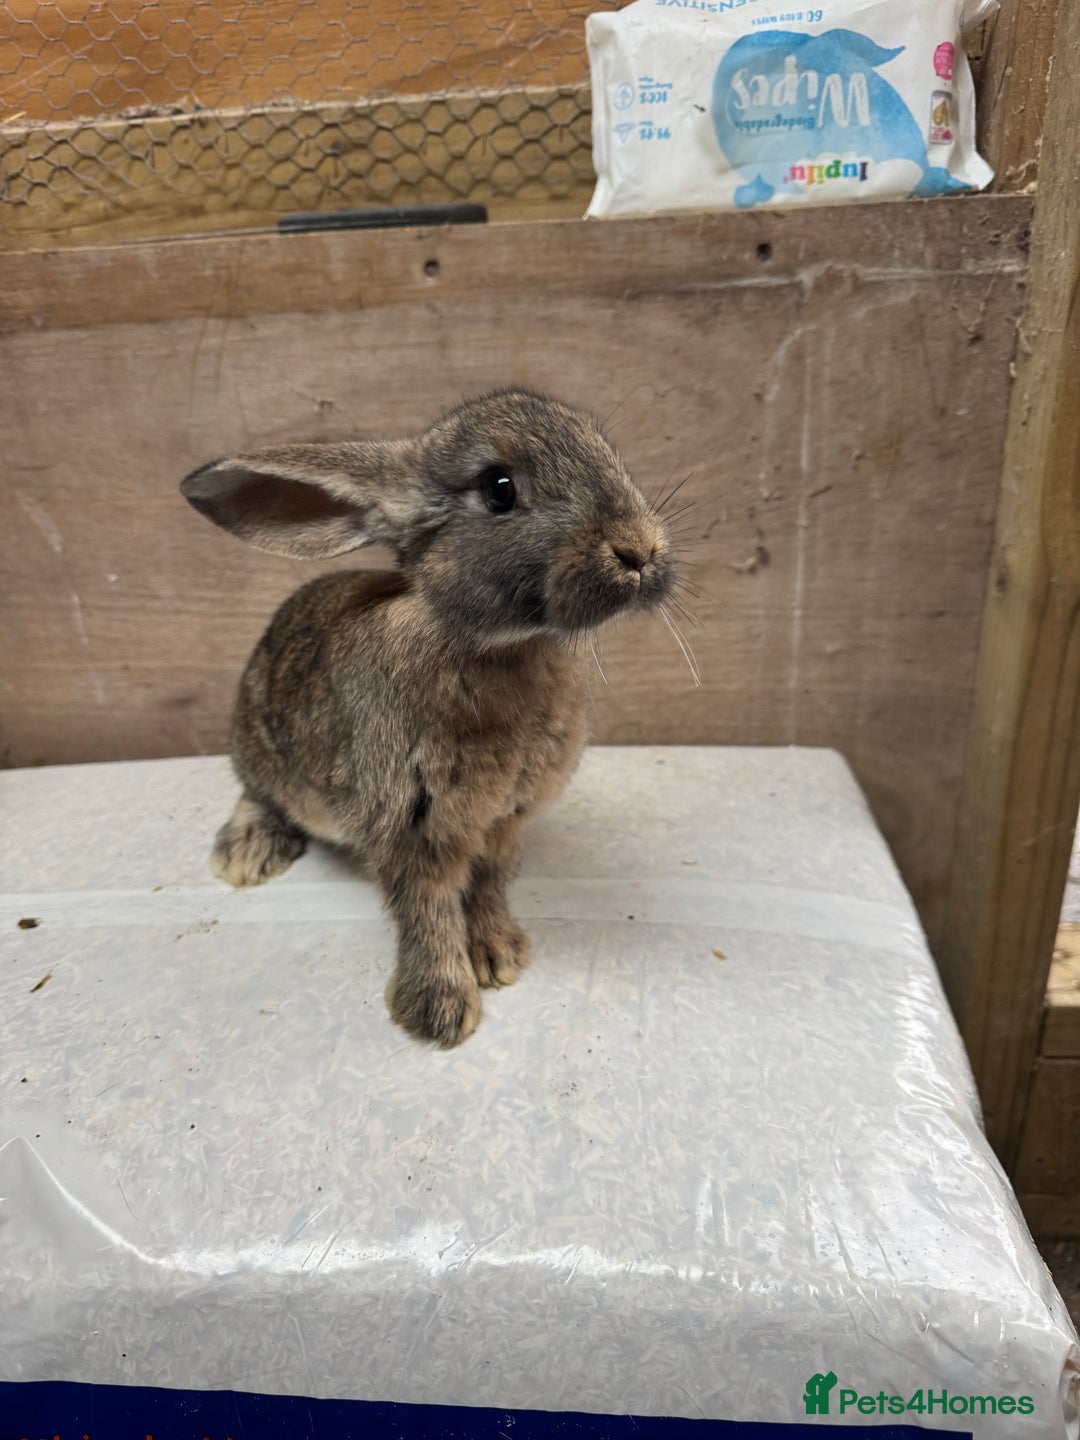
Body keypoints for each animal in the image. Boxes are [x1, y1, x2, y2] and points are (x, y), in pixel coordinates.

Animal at [181, 389, 675, 1047]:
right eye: (498, 489)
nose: (640, 551)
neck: (495, 644)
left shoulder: (504, 819)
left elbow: (487, 886)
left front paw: (498, 954)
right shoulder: (410, 819)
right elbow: (428, 908)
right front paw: (439, 1010)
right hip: (260, 750)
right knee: (257, 794)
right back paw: (244, 857)